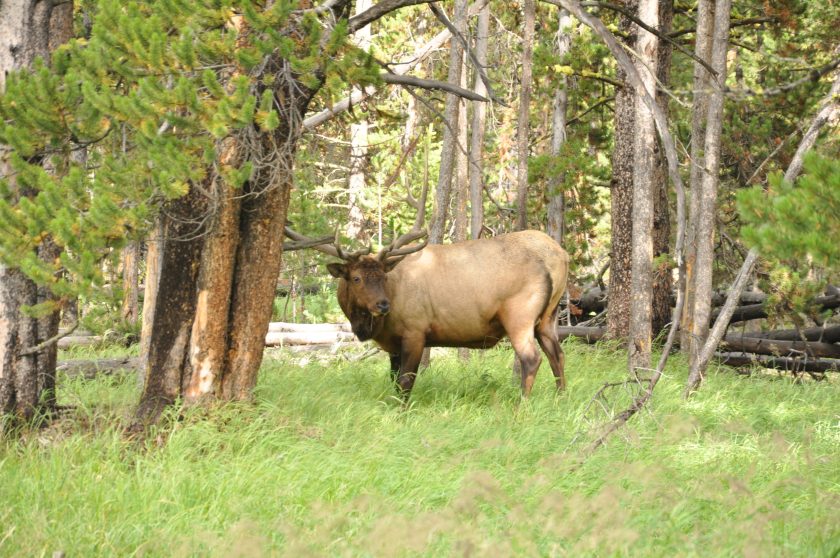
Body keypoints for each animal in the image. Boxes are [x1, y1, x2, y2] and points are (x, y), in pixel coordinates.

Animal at [284, 230, 572, 400]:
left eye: (382, 276)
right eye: (356, 277)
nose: (383, 305)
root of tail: (562, 257)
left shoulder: (415, 332)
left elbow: (405, 381)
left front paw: (400, 412)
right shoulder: (394, 343)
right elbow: (393, 379)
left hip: (519, 315)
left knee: (531, 358)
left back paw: (521, 405)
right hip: (547, 317)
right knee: (557, 355)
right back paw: (561, 398)